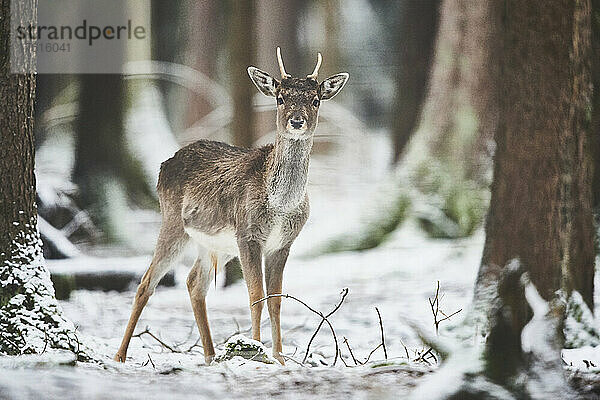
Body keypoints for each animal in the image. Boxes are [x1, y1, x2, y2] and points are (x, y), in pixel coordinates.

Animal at [113, 48, 350, 364]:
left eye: (315, 99)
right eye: (280, 97)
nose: (297, 122)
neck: (281, 206)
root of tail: (164, 164)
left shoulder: (283, 243)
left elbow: (276, 301)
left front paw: (280, 357)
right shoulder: (248, 234)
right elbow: (256, 296)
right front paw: (258, 350)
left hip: (215, 243)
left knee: (193, 282)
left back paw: (211, 356)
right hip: (173, 222)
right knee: (146, 282)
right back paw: (120, 355)